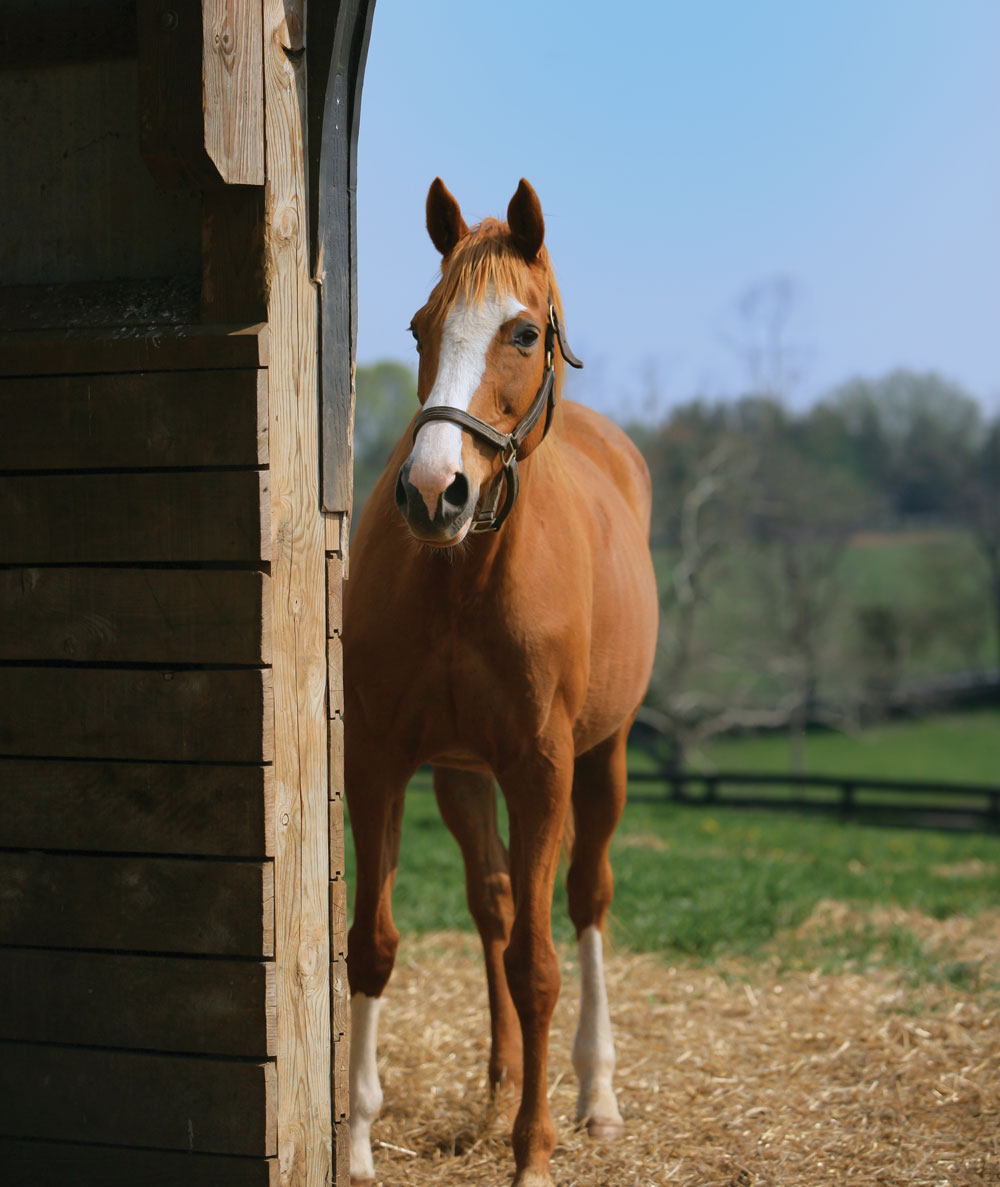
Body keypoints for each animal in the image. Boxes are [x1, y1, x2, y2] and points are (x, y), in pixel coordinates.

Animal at [346, 175, 660, 1187]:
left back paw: (596, 1095)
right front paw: (354, 1140)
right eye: (420, 326)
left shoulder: (541, 769)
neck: (459, 578)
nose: (431, 491)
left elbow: (540, 963)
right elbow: (373, 943)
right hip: (461, 774)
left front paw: (534, 1153)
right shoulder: (380, 759)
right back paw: (497, 1085)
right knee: (496, 901)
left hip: (602, 760)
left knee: (584, 901)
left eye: (523, 332)